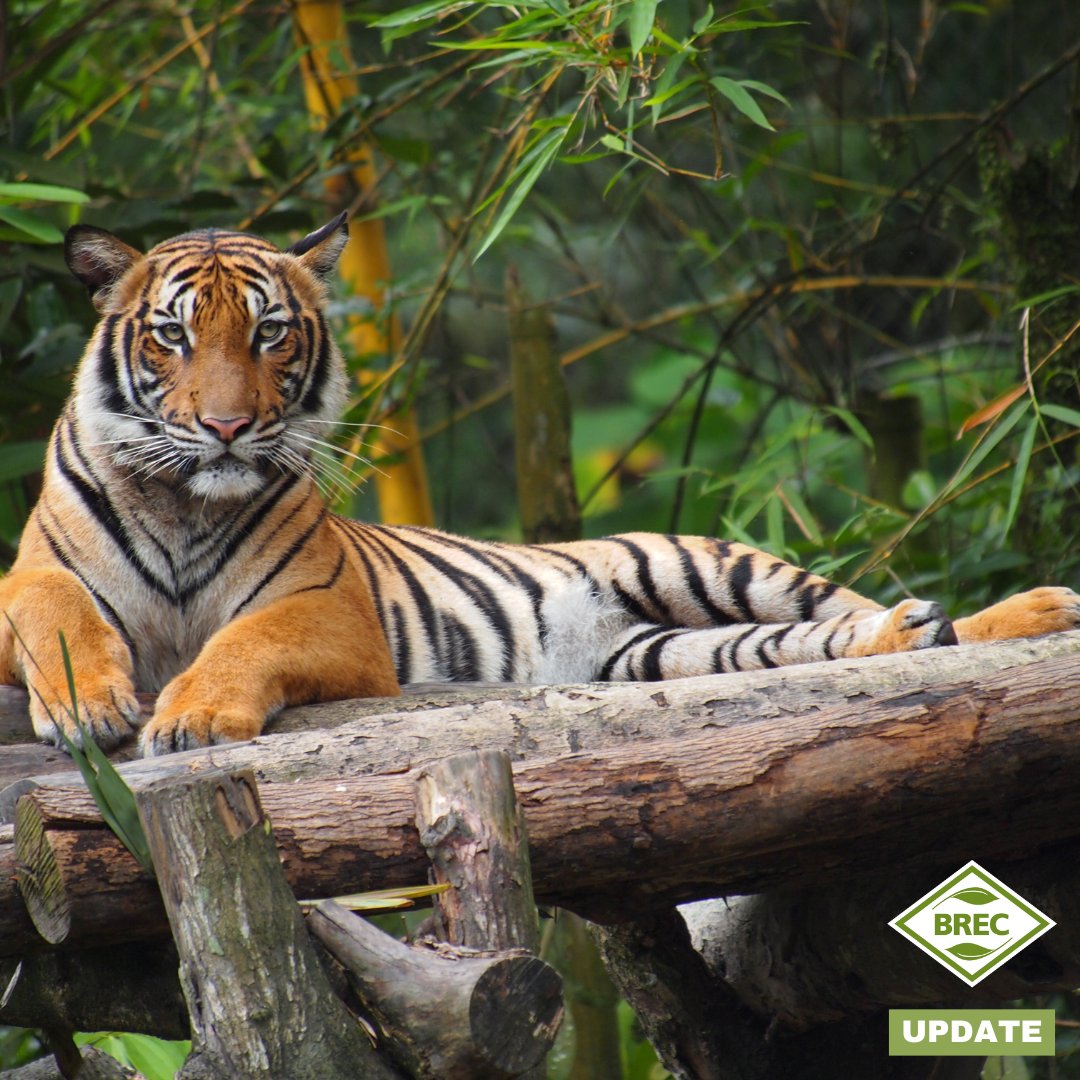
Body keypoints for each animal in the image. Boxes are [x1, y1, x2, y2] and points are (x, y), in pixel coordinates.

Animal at [1, 214, 1077, 757]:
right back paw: (920, 629)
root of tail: (598, 634)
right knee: (819, 643)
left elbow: (241, 644)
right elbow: (57, 615)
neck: (187, 500)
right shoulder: (31, 582)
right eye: (171, 336)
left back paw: (1027, 610)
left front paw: (190, 716)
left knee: (857, 608)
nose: (226, 426)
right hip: (670, 654)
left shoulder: (324, 610)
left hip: (712, 564)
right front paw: (90, 711)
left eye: (269, 334)